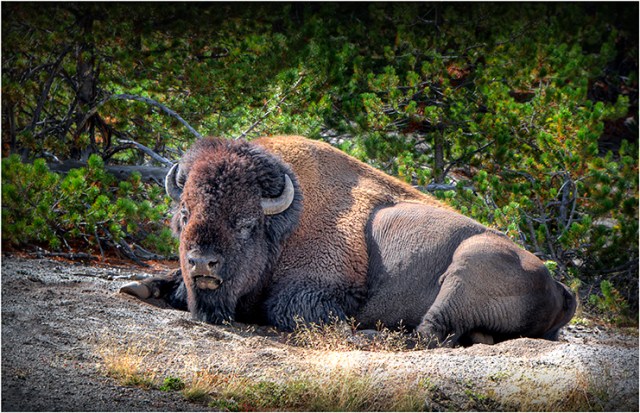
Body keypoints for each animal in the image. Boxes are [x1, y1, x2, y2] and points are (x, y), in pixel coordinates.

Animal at [121, 135, 576, 346]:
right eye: (184, 214)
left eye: (246, 222)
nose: (202, 263)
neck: (288, 221)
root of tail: (560, 286)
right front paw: (139, 286)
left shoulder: (317, 290)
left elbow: (286, 308)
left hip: (469, 264)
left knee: (430, 331)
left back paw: (374, 333)